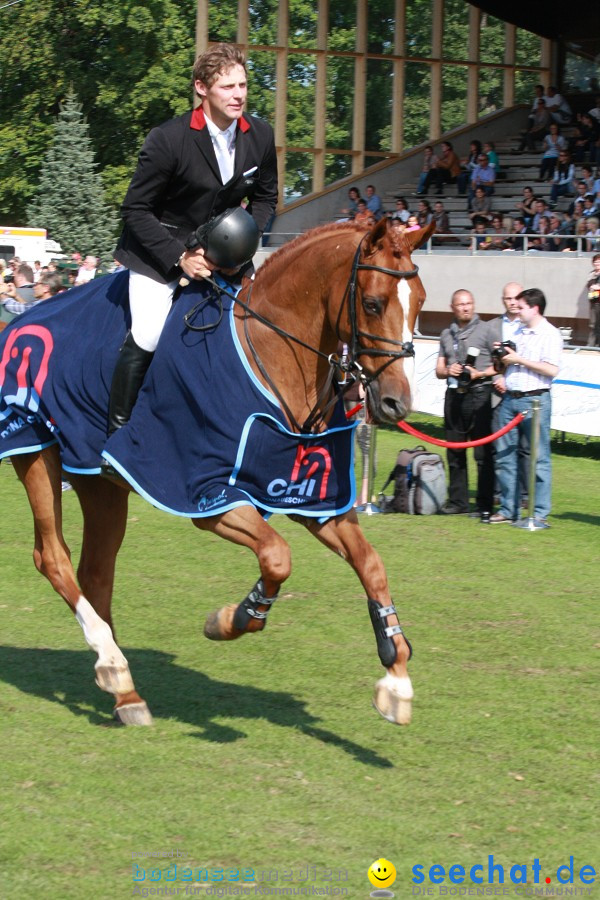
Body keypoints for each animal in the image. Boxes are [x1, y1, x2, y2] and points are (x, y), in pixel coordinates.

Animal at [5, 220, 436, 732]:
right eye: (372, 303)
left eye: (421, 302)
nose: (396, 404)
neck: (274, 357)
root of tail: (21, 320)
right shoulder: (209, 497)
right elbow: (277, 557)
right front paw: (232, 619)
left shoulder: (313, 501)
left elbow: (371, 566)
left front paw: (397, 678)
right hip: (34, 448)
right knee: (53, 557)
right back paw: (111, 663)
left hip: (99, 483)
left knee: (96, 572)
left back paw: (124, 690)